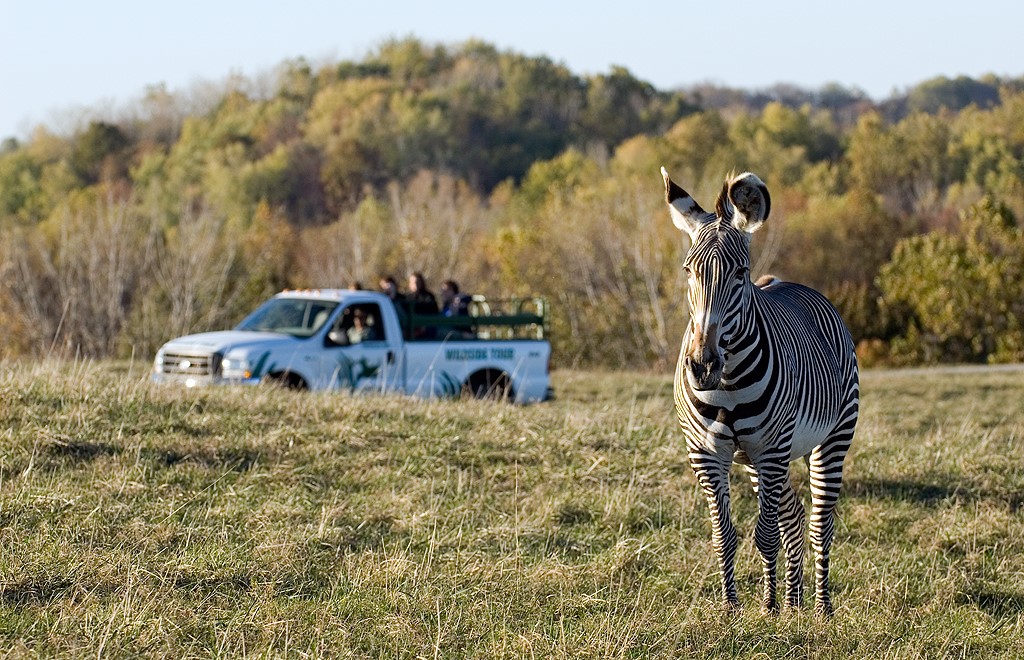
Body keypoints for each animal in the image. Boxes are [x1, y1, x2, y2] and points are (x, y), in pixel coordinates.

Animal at [659, 167, 860, 613]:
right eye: (688, 271)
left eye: (740, 273)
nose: (703, 365)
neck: (728, 384)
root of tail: (782, 281)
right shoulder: (707, 454)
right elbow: (725, 536)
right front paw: (735, 608)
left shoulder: (771, 449)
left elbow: (765, 536)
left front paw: (767, 612)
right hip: (755, 460)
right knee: (793, 514)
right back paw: (793, 601)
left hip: (831, 439)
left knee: (820, 523)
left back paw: (820, 608)